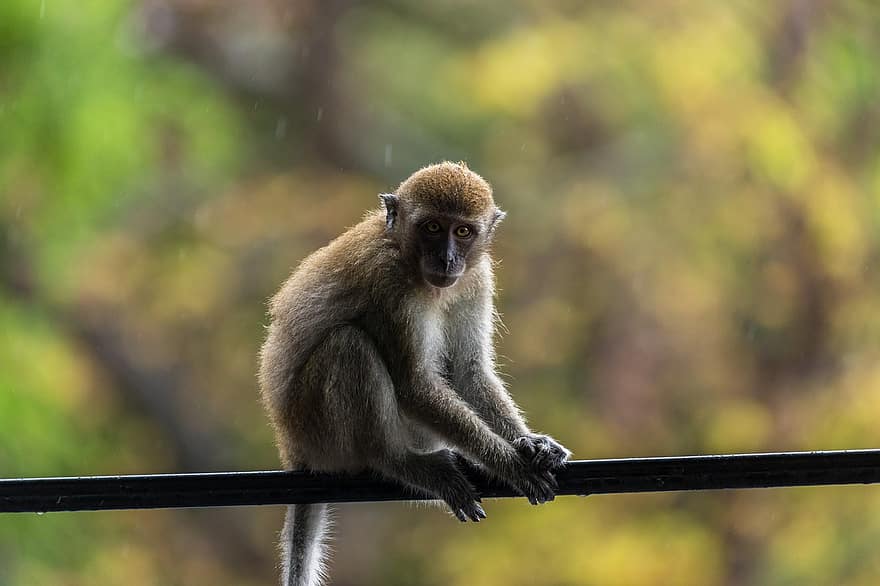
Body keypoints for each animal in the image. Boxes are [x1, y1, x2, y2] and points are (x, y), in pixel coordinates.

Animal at [258, 161, 572, 584]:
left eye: (462, 231)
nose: (447, 260)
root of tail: (293, 448)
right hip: (319, 430)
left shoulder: (477, 278)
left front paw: (530, 443)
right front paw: (511, 465)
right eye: (433, 227)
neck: (403, 252)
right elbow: (415, 386)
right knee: (349, 344)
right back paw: (398, 461)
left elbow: (467, 371)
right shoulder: (389, 283)